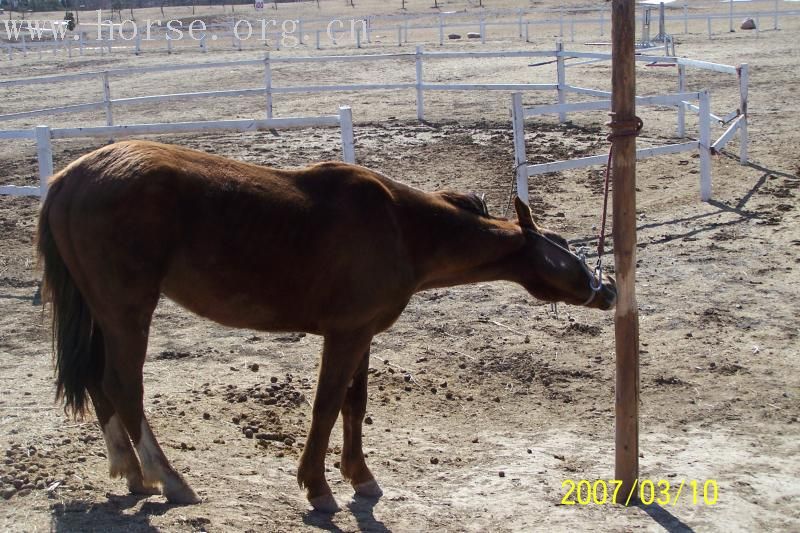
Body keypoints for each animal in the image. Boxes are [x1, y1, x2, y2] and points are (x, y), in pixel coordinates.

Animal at [34, 140, 616, 512]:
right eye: (564, 247)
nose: (608, 289)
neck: (401, 227)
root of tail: (68, 179)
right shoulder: (345, 335)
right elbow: (326, 405)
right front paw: (317, 487)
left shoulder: (362, 333)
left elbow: (354, 405)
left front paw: (361, 476)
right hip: (127, 310)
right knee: (123, 386)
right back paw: (170, 479)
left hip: (102, 312)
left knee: (100, 384)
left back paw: (133, 474)